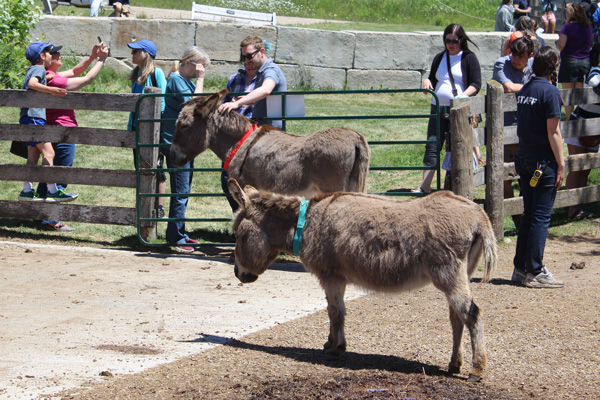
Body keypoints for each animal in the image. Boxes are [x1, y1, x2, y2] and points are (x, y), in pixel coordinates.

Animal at [227, 178, 497, 382]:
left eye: (236, 234)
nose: (239, 274)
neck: (306, 222)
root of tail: (479, 215)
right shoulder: (335, 277)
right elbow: (332, 310)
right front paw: (330, 343)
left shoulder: (330, 275)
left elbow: (336, 312)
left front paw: (336, 348)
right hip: (461, 274)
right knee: (457, 318)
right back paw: (454, 364)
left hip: (449, 274)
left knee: (472, 314)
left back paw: (476, 369)